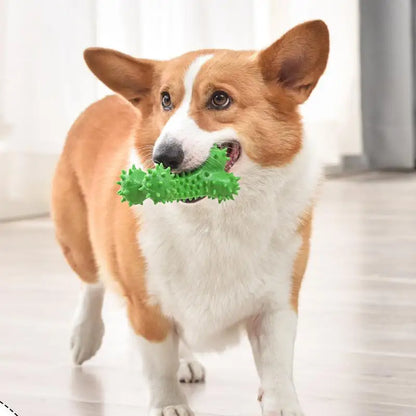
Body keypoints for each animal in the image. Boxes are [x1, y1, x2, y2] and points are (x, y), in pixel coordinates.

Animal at [51, 21, 328, 416]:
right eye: (165, 100)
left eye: (220, 99)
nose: (164, 156)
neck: (215, 215)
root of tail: (106, 100)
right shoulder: (146, 305)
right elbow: (158, 366)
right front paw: (169, 405)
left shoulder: (276, 304)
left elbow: (276, 370)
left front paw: (282, 406)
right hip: (76, 238)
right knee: (92, 282)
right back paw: (84, 336)